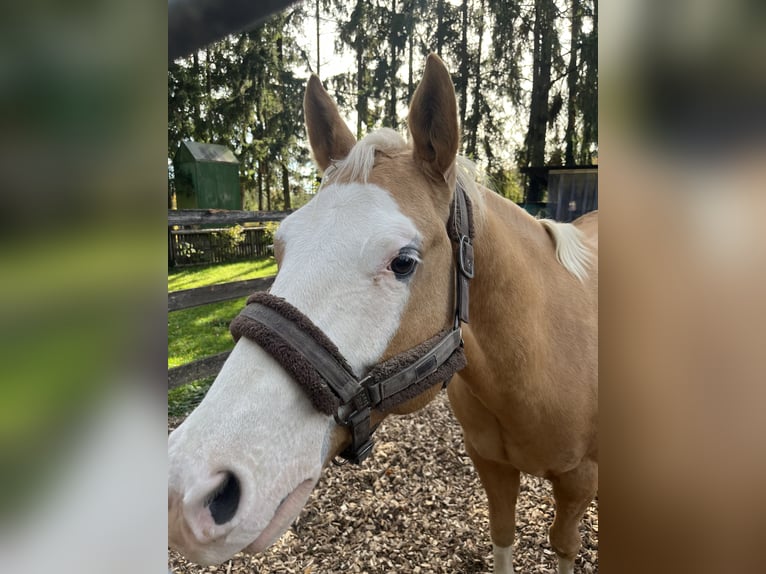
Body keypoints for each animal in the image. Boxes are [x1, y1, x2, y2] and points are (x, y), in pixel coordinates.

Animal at [168, 54, 598, 574]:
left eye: (404, 262)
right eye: (279, 247)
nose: (187, 491)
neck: (537, 360)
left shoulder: (579, 483)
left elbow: (566, 546)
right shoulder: (491, 467)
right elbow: (502, 536)